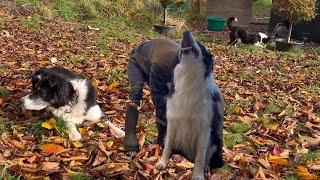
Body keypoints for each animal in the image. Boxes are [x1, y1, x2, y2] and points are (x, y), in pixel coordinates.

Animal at [156, 31, 225, 179]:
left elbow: (201, 155)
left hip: (215, 140)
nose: (186, 32)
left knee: (206, 157)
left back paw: (206, 167)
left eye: (199, 43)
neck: (188, 77)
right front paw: (163, 162)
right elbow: (167, 145)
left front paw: (198, 175)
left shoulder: (205, 127)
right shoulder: (172, 121)